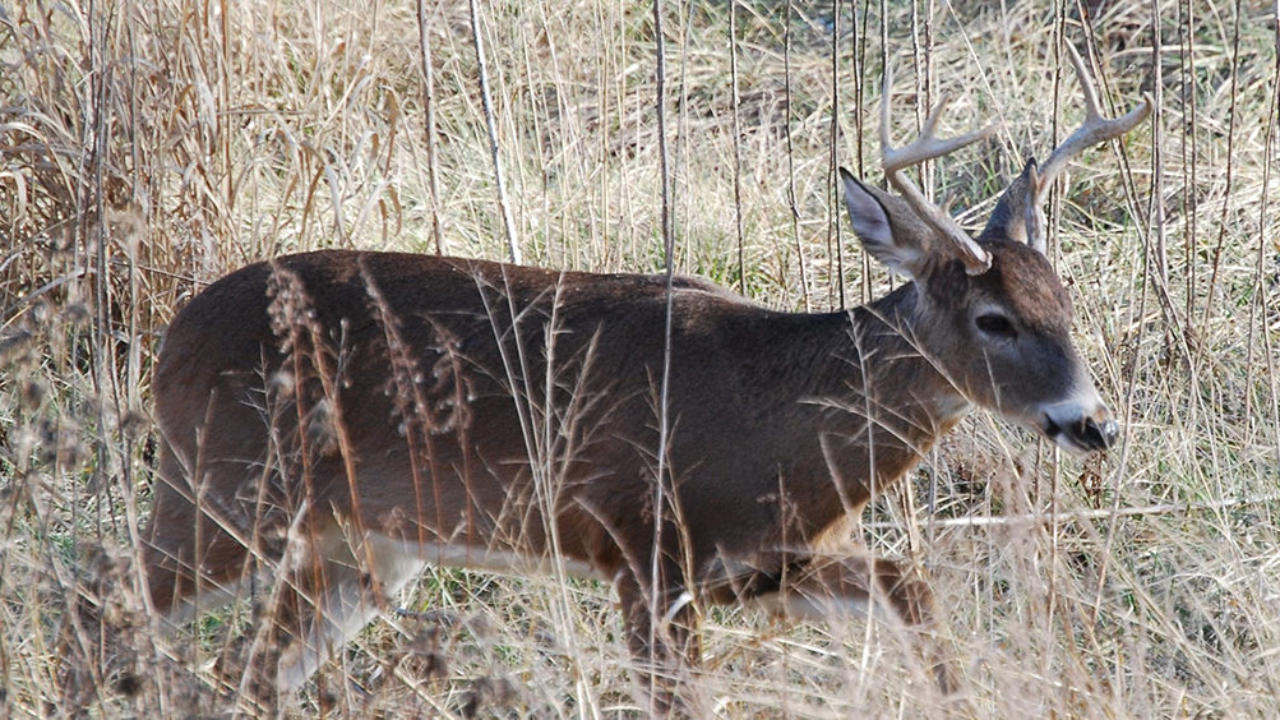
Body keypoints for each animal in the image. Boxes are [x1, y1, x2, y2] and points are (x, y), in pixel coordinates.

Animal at [70, 46, 1152, 712]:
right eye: (993, 320)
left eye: (1067, 299)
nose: (1091, 422)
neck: (776, 427)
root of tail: (168, 339)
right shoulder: (646, 552)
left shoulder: (764, 566)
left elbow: (913, 585)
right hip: (227, 488)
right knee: (101, 605)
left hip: (353, 546)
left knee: (245, 673)